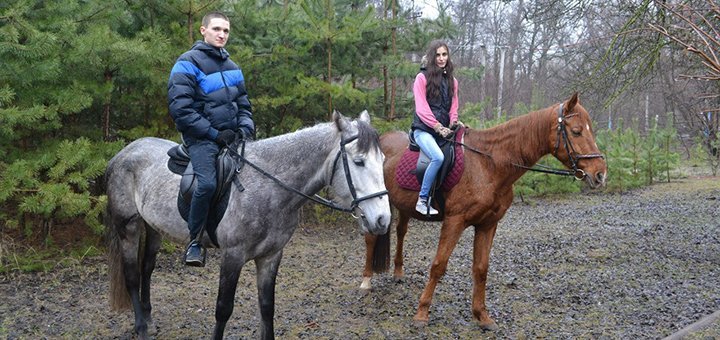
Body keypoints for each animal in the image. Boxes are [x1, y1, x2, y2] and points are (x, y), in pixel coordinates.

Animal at [104, 111, 390, 340]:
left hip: (153, 227)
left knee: (147, 269)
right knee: (131, 275)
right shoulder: (233, 255)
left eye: (382, 159)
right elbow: (223, 309)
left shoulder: (271, 256)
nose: (382, 219)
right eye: (359, 161)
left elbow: (267, 307)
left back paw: (149, 319)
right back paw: (141, 327)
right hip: (128, 227)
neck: (268, 187)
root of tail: (123, 153)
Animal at [362, 92, 604, 330]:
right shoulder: (454, 221)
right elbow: (438, 265)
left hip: (402, 207)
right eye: (576, 131)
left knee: (401, 231)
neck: (488, 164)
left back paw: (398, 273)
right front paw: (422, 314)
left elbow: (481, 268)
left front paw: (482, 316)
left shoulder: (488, 224)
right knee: (371, 238)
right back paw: (366, 281)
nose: (600, 173)